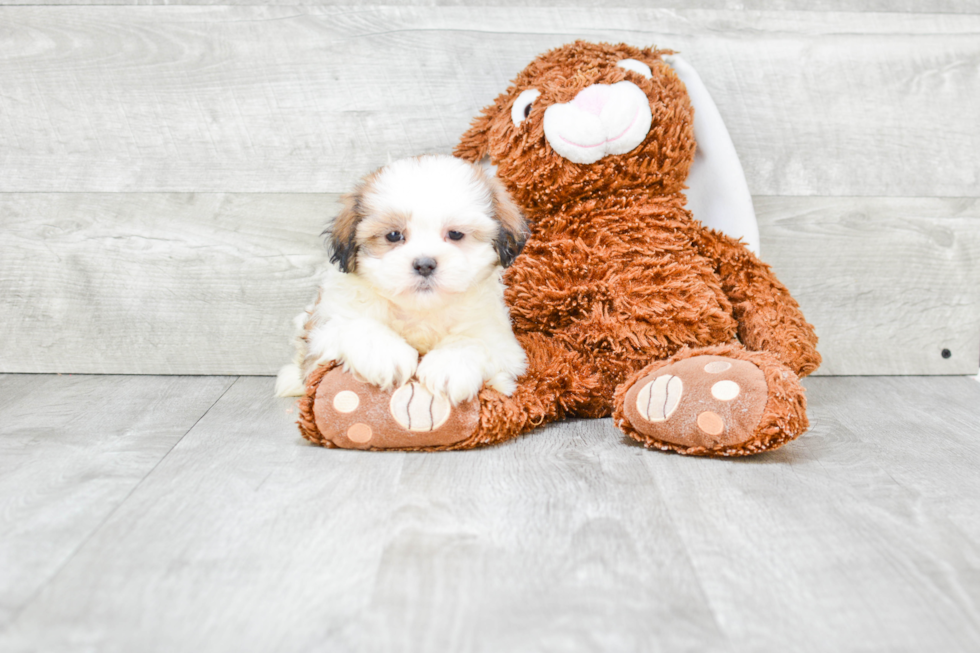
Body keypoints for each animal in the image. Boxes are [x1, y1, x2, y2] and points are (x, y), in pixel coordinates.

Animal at [272, 155, 532, 404]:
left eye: (456, 234)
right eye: (394, 235)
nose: (424, 264)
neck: (420, 312)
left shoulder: (502, 341)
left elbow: (474, 341)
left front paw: (450, 364)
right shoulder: (326, 325)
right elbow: (354, 325)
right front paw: (385, 353)